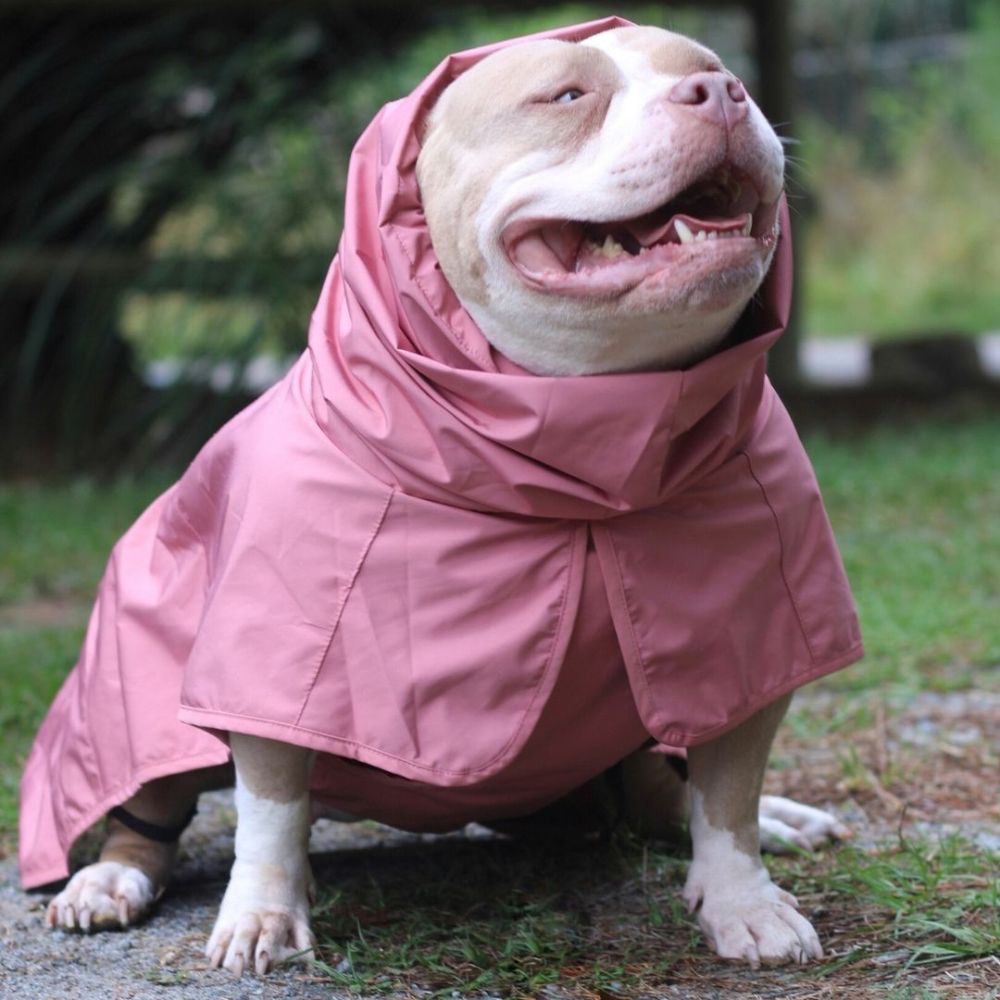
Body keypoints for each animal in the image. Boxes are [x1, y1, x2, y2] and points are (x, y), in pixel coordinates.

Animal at [31, 19, 860, 980]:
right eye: (567, 96)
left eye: (716, 71)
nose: (723, 93)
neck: (592, 433)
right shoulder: (275, 665)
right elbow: (270, 805)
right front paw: (264, 914)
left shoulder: (750, 636)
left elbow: (727, 795)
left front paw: (744, 903)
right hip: (140, 669)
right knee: (153, 803)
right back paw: (109, 879)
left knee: (667, 796)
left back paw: (779, 820)